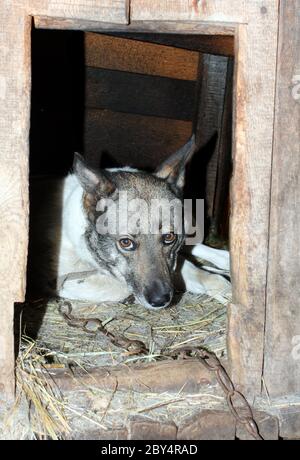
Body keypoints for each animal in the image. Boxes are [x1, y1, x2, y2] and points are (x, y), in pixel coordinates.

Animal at [28, 137, 230, 310]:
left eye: (169, 237)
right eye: (126, 242)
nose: (160, 301)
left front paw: (216, 281)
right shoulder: (61, 277)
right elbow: (121, 286)